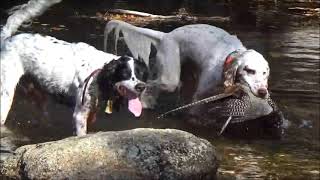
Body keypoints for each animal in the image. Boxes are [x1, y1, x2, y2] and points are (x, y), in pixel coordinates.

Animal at [0, 33, 149, 135]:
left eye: (141, 74)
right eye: (125, 74)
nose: (141, 87)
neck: (100, 72)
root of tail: (8, 40)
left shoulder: (91, 112)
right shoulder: (79, 115)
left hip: (37, 95)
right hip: (6, 97)